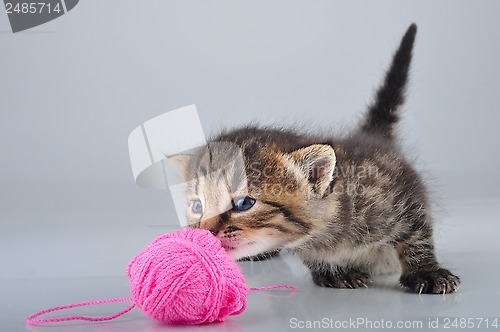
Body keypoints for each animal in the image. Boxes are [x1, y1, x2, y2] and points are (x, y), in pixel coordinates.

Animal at [171, 24, 460, 294]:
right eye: (197, 206)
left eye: (244, 203)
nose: (205, 231)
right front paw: (333, 270)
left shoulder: (404, 193)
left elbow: (417, 233)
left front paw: (426, 271)